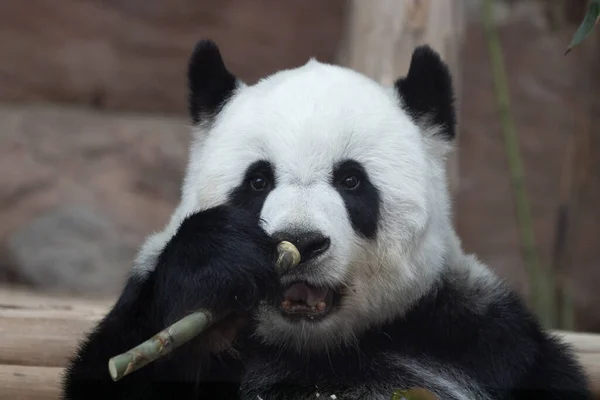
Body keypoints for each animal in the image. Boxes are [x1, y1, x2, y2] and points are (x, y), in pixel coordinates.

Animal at [62, 38, 592, 400]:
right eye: (258, 181)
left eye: (351, 181)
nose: (301, 241)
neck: (315, 347)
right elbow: (114, 368)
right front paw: (214, 270)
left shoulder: (478, 338)